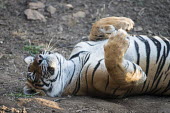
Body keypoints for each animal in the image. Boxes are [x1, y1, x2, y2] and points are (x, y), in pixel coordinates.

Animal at [23, 16, 169, 98]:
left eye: (38, 55)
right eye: (34, 76)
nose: (38, 59)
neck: (71, 65)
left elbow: (95, 26)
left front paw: (125, 22)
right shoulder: (111, 82)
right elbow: (114, 65)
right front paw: (120, 38)